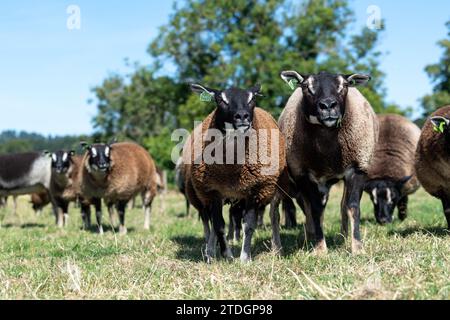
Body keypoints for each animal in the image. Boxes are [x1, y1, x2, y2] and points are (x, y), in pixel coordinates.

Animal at [184, 84, 286, 264]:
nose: (242, 116)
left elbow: (249, 225)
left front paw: (245, 258)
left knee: (274, 216)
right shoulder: (213, 191)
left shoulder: (255, 190)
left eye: (252, 98)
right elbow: (219, 225)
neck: (232, 170)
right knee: (210, 223)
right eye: (220, 100)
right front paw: (227, 255)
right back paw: (210, 252)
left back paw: (277, 248)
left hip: (271, 188)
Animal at [274, 71, 380, 254]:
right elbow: (316, 210)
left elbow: (352, 207)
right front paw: (320, 249)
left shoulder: (357, 168)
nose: (328, 105)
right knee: (304, 208)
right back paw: (306, 238)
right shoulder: (304, 174)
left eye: (344, 85)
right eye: (306, 86)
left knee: (342, 205)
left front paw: (357, 248)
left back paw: (343, 236)